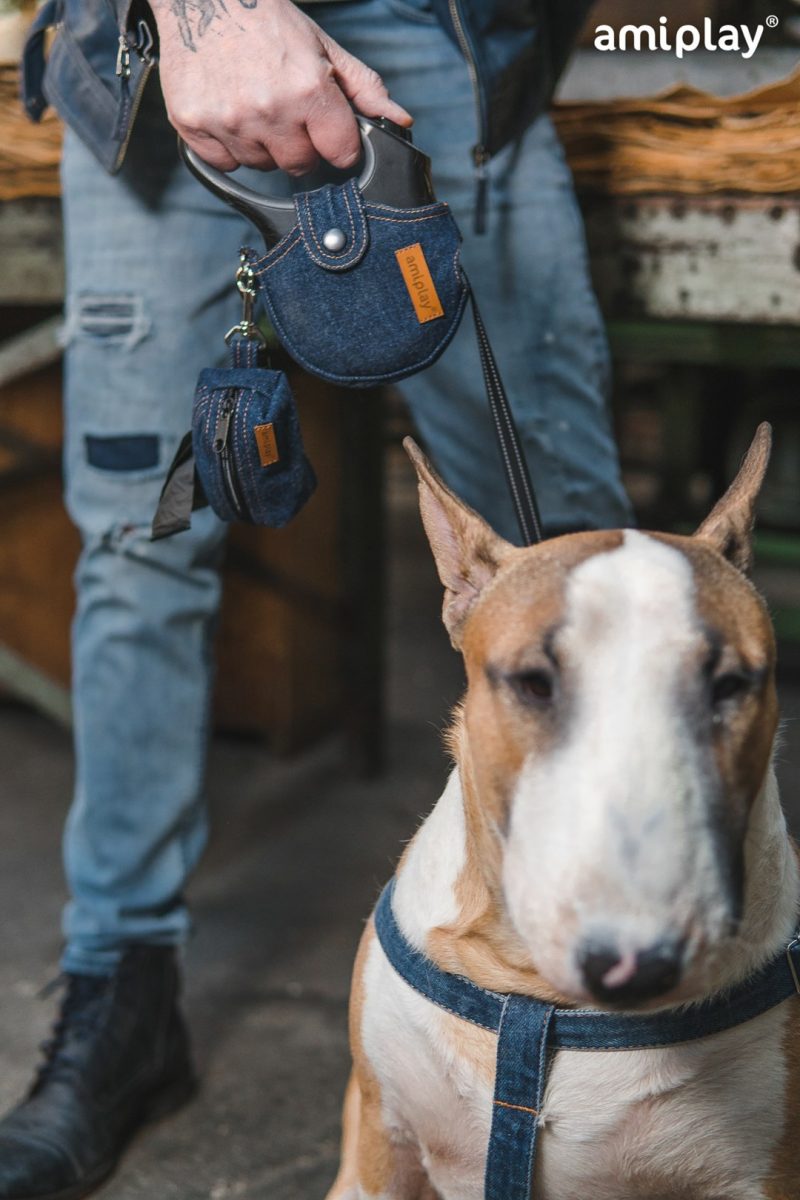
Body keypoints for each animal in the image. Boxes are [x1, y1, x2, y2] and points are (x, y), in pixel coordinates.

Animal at [326, 423, 800, 1200]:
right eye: (534, 683)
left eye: (732, 685)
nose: (634, 963)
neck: (538, 999)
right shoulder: (379, 1143)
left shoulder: (763, 1172)